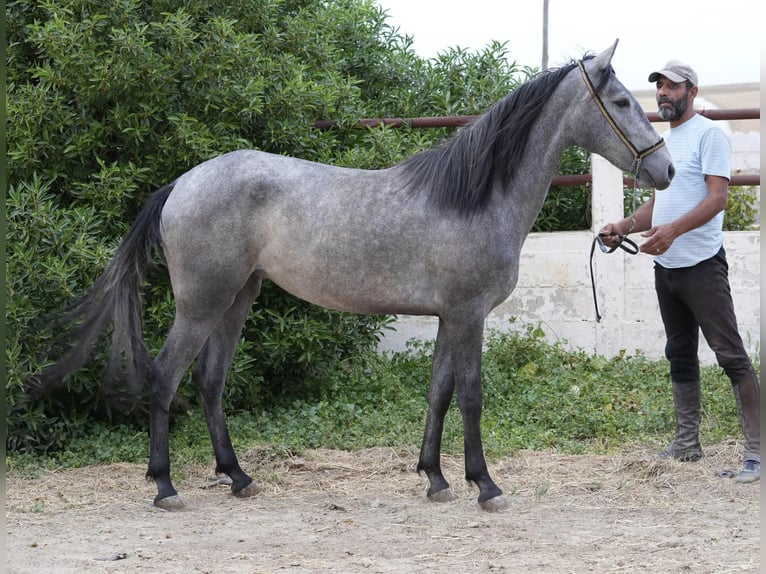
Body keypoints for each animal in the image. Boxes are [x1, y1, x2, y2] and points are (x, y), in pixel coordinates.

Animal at [29, 40, 673, 512]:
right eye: (621, 102)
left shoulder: (448, 317)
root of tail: (181, 184)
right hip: (201, 303)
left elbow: (438, 392)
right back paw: (165, 486)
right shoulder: (468, 314)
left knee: (210, 382)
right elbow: (470, 394)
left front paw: (435, 478)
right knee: (165, 377)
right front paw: (484, 484)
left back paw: (238, 476)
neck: (475, 197)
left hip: (237, 299)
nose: (664, 169)